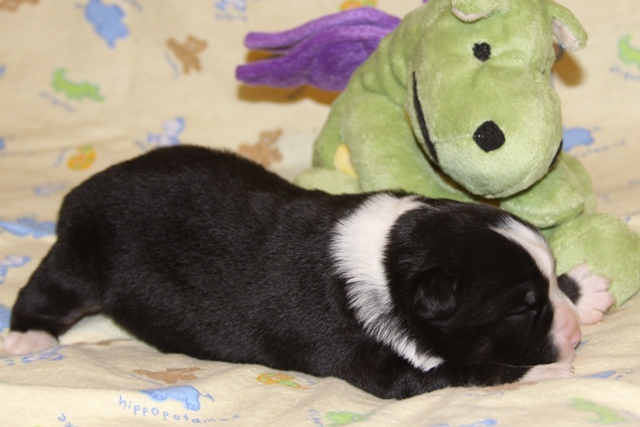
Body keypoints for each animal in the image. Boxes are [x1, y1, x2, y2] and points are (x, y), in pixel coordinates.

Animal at [2, 145, 613, 399]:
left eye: (546, 286)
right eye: (522, 308)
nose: (573, 336)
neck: (391, 260)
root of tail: (81, 192)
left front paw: (586, 289)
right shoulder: (375, 363)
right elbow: (469, 372)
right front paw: (548, 373)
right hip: (83, 260)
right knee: (46, 289)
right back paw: (29, 337)